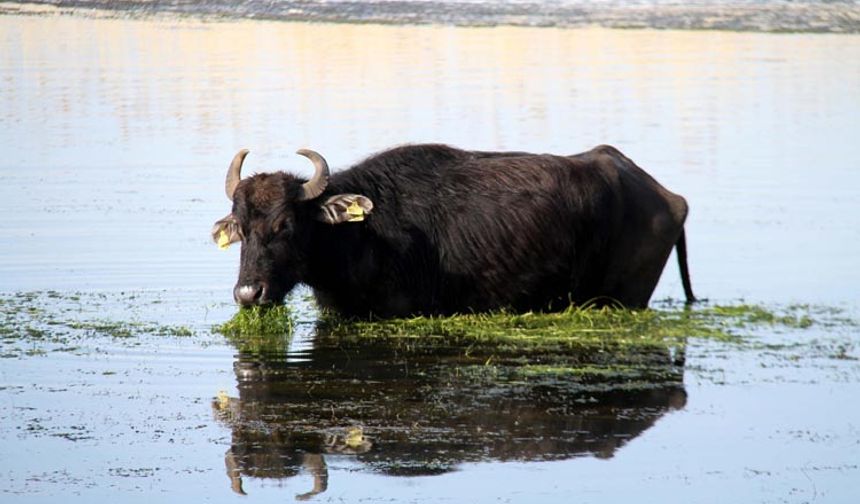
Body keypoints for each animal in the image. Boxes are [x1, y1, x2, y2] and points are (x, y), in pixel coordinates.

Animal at [212, 143, 696, 316]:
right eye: (242, 227)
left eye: (285, 224)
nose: (249, 293)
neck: (361, 236)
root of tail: (669, 198)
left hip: (625, 297)